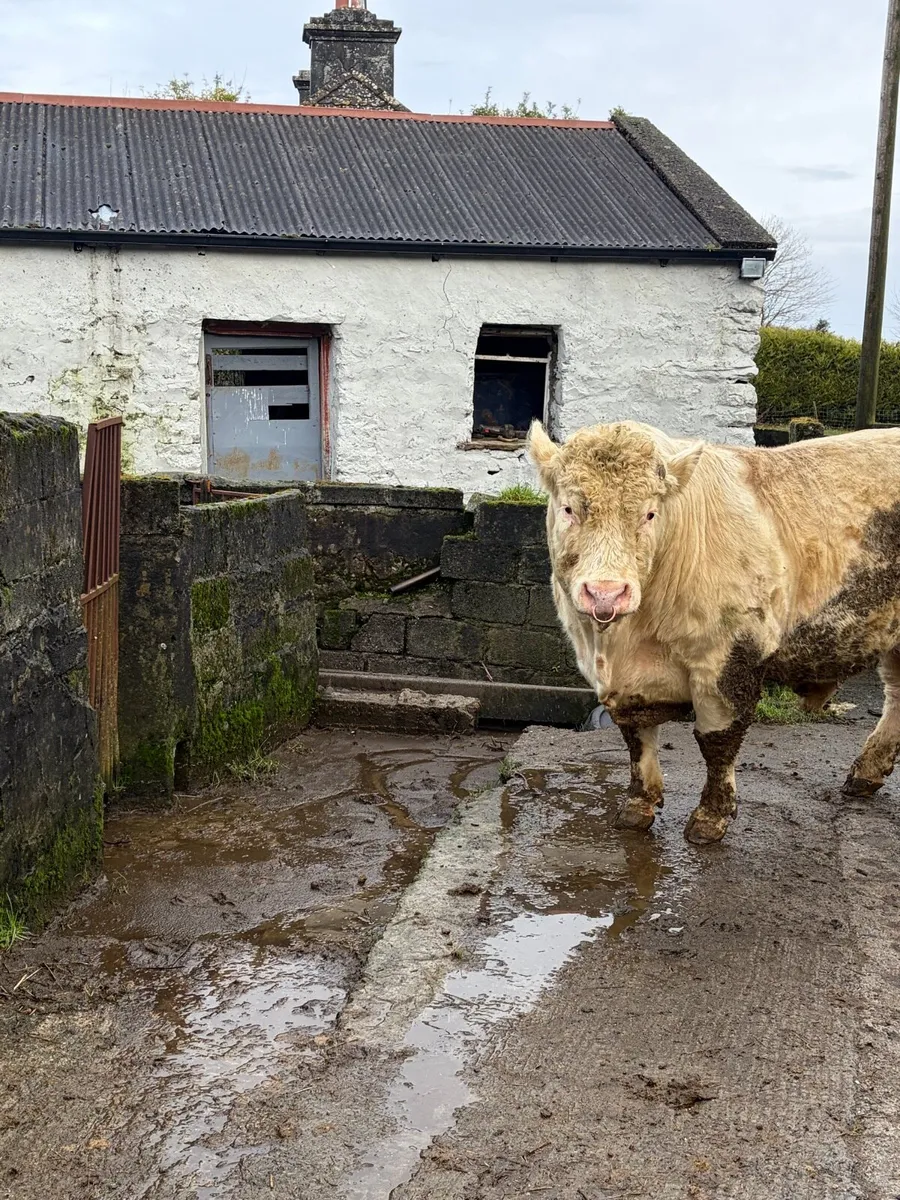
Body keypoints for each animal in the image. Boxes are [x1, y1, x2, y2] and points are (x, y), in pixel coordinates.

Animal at [527, 419, 900, 845]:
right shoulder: (616, 678)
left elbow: (717, 740)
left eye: (650, 514)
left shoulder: (726, 656)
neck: (624, 643)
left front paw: (710, 818)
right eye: (569, 508)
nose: (606, 592)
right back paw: (865, 775)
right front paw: (637, 808)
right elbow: (637, 736)